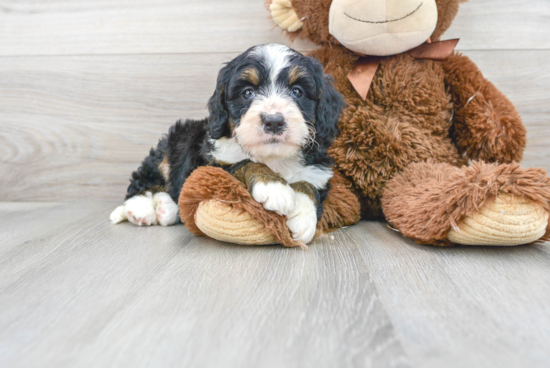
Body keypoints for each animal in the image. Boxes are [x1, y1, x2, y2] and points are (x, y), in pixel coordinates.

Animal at [110, 43, 344, 244]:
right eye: (248, 93)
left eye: (297, 92)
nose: (273, 121)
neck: (273, 157)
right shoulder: (208, 168)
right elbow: (245, 163)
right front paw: (274, 186)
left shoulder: (318, 171)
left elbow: (310, 185)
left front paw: (303, 217)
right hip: (174, 141)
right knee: (144, 177)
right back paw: (141, 207)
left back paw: (166, 208)